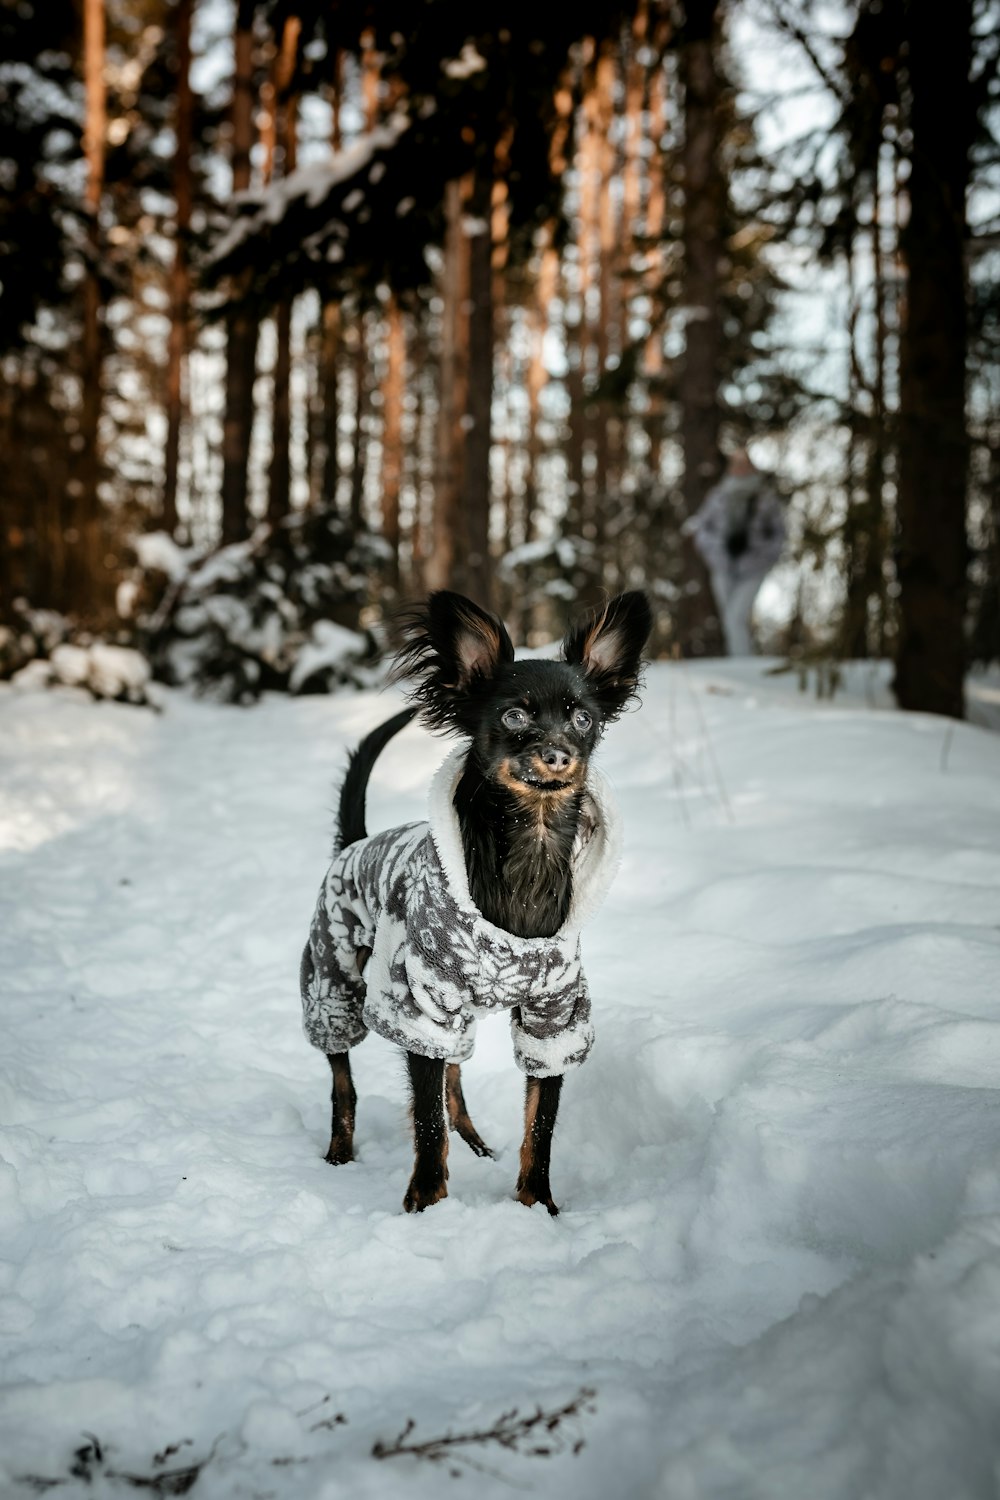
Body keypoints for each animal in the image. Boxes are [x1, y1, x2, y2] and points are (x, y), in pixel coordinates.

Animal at [301, 591, 653, 1212]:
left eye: (582, 718)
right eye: (514, 716)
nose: (558, 753)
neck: (530, 854)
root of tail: (356, 843)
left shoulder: (553, 1017)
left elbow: (540, 1122)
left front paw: (538, 1206)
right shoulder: (420, 1004)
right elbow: (425, 1121)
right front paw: (426, 1201)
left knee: (453, 1079)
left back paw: (476, 1143)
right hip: (332, 976)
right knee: (344, 1079)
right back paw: (340, 1153)